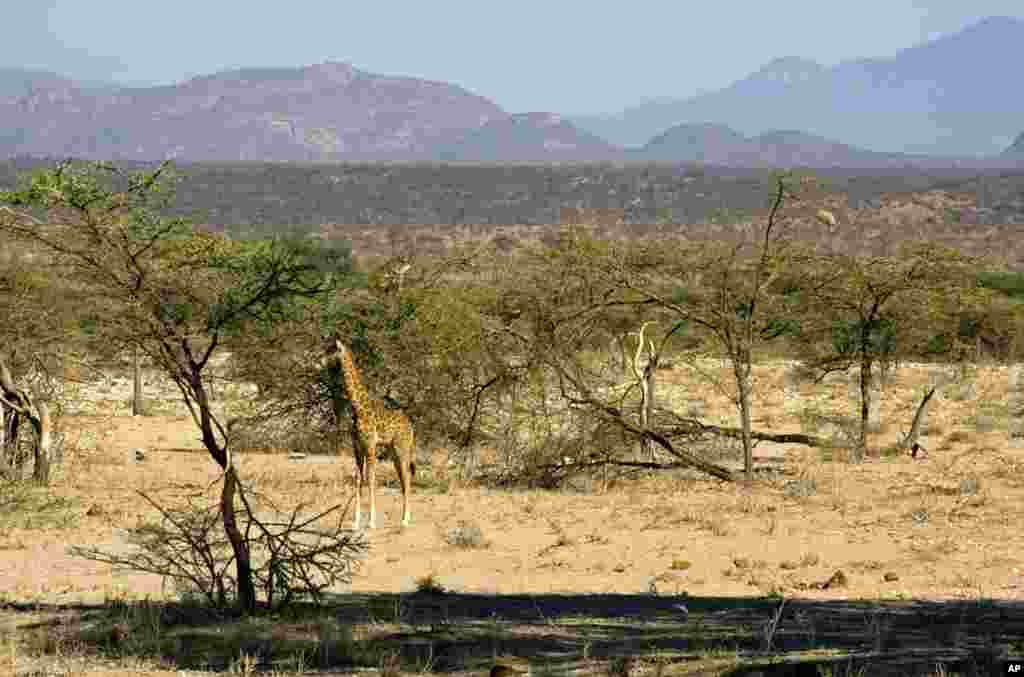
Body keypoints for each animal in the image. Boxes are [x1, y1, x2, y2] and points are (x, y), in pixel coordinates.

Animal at [321, 335, 413, 532]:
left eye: (331, 351)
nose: (320, 362)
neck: (357, 406)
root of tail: (411, 427)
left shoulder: (370, 445)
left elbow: (371, 479)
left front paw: (371, 522)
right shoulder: (357, 447)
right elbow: (358, 479)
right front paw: (356, 523)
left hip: (402, 448)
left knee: (407, 477)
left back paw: (405, 520)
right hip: (393, 451)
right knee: (403, 479)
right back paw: (404, 518)